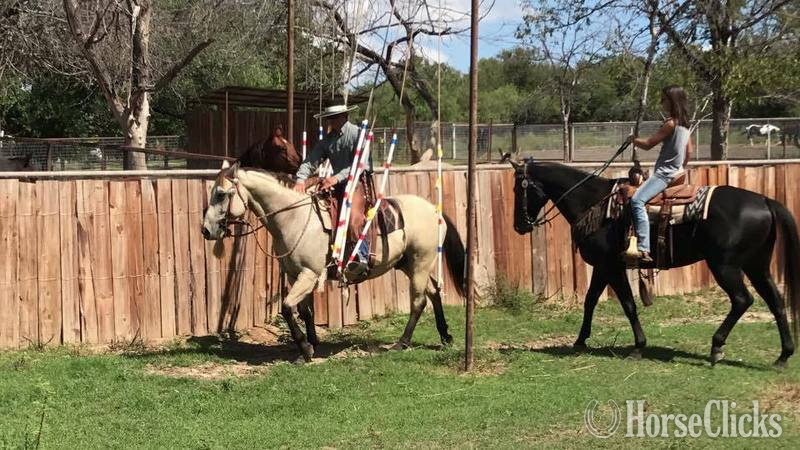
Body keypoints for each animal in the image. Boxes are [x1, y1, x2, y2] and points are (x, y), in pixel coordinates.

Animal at [201, 160, 467, 362]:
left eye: (221, 195)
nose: (206, 230)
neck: (294, 217)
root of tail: (435, 210)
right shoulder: (296, 275)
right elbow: (304, 311)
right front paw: (312, 343)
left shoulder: (309, 274)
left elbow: (286, 308)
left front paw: (305, 349)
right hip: (410, 264)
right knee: (434, 292)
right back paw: (445, 336)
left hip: (420, 262)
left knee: (419, 301)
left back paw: (402, 342)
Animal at [510, 160, 800, 368]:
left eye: (518, 189)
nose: (519, 226)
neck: (594, 204)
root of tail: (764, 200)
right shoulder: (603, 267)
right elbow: (591, 300)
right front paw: (581, 340)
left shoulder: (612, 267)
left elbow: (628, 305)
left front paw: (639, 346)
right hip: (756, 265)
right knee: (775, 301)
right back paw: (783, 356)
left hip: (725, 266)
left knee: (742, 300)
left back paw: (716, 346)